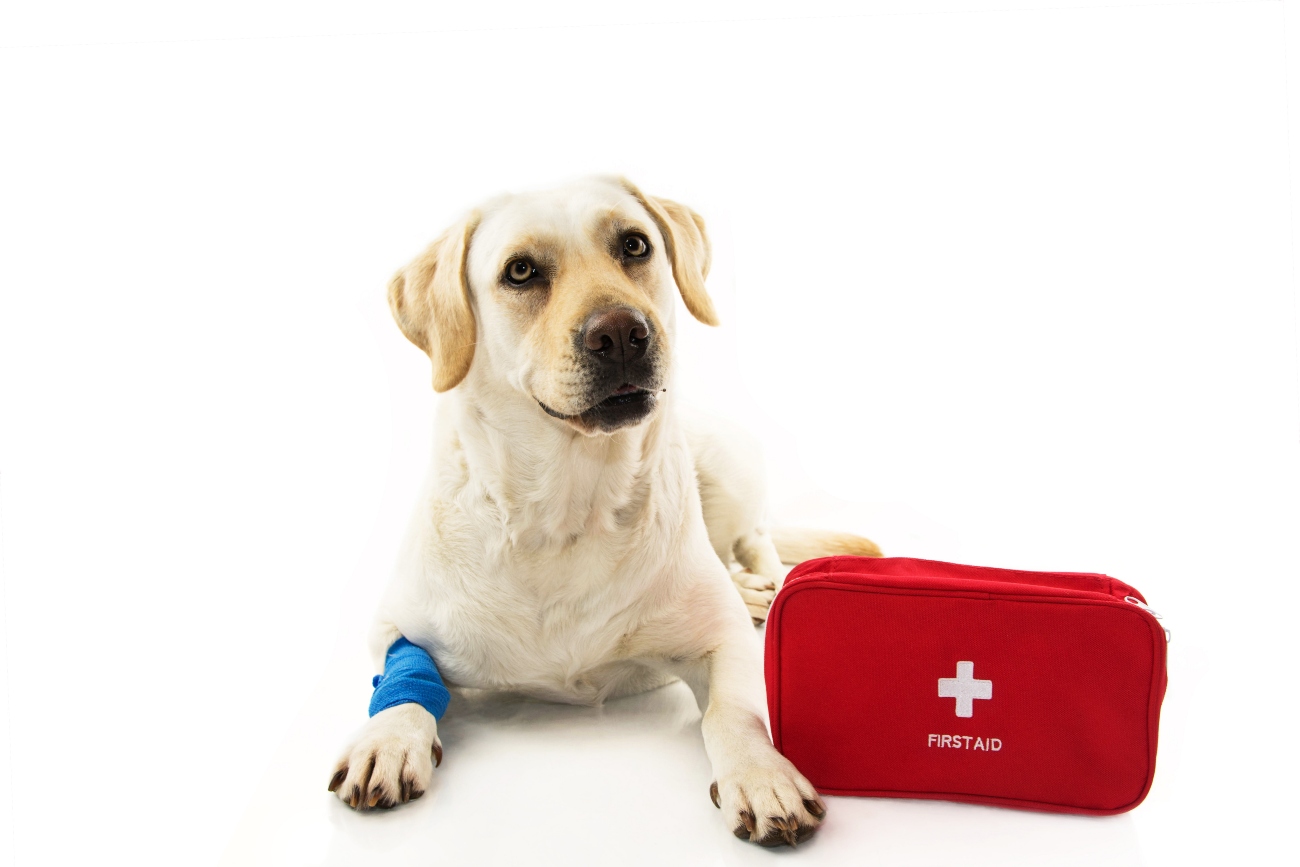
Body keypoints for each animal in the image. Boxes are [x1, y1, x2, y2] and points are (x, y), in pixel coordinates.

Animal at [327, 176, 883, 847]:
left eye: (635, 244)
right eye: (520, 271)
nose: (621, 333)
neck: (565, 515)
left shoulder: (723, 643)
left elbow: (733, 709)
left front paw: (760, 773)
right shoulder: (394, 623)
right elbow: (403, 681)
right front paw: (386, 739)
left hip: (728, 466)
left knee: (757, 545)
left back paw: (761, 589)